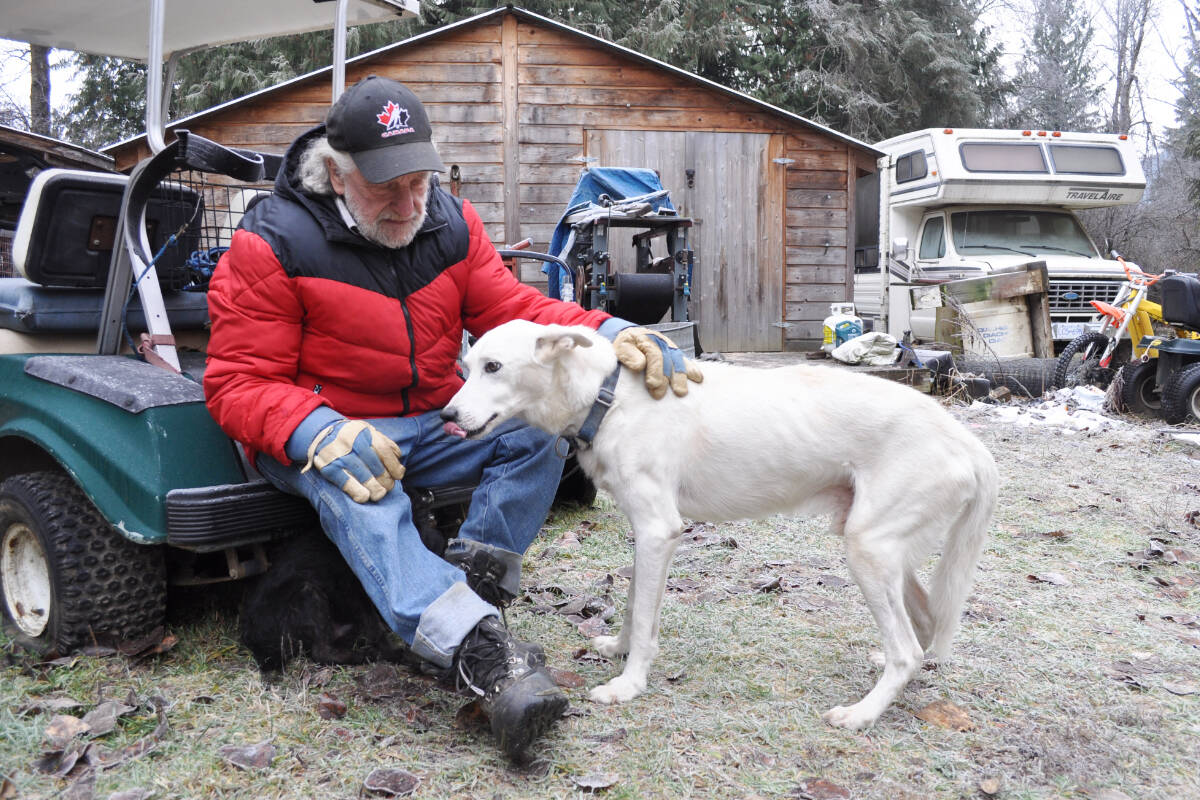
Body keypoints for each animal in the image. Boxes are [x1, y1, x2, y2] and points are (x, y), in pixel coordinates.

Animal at [446, 321, 998, 734]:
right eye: (466, 367)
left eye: (494, 367)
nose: (447, 415)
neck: (609, 397)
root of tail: (966, 441)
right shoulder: (645, 535)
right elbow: (634, 605)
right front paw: (619, 650)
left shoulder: (659, 531)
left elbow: (644, 621)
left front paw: (629, 684)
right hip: (879, 548)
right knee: (924, 627)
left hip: (869, 551)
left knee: (907, 652)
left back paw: (862, 713)